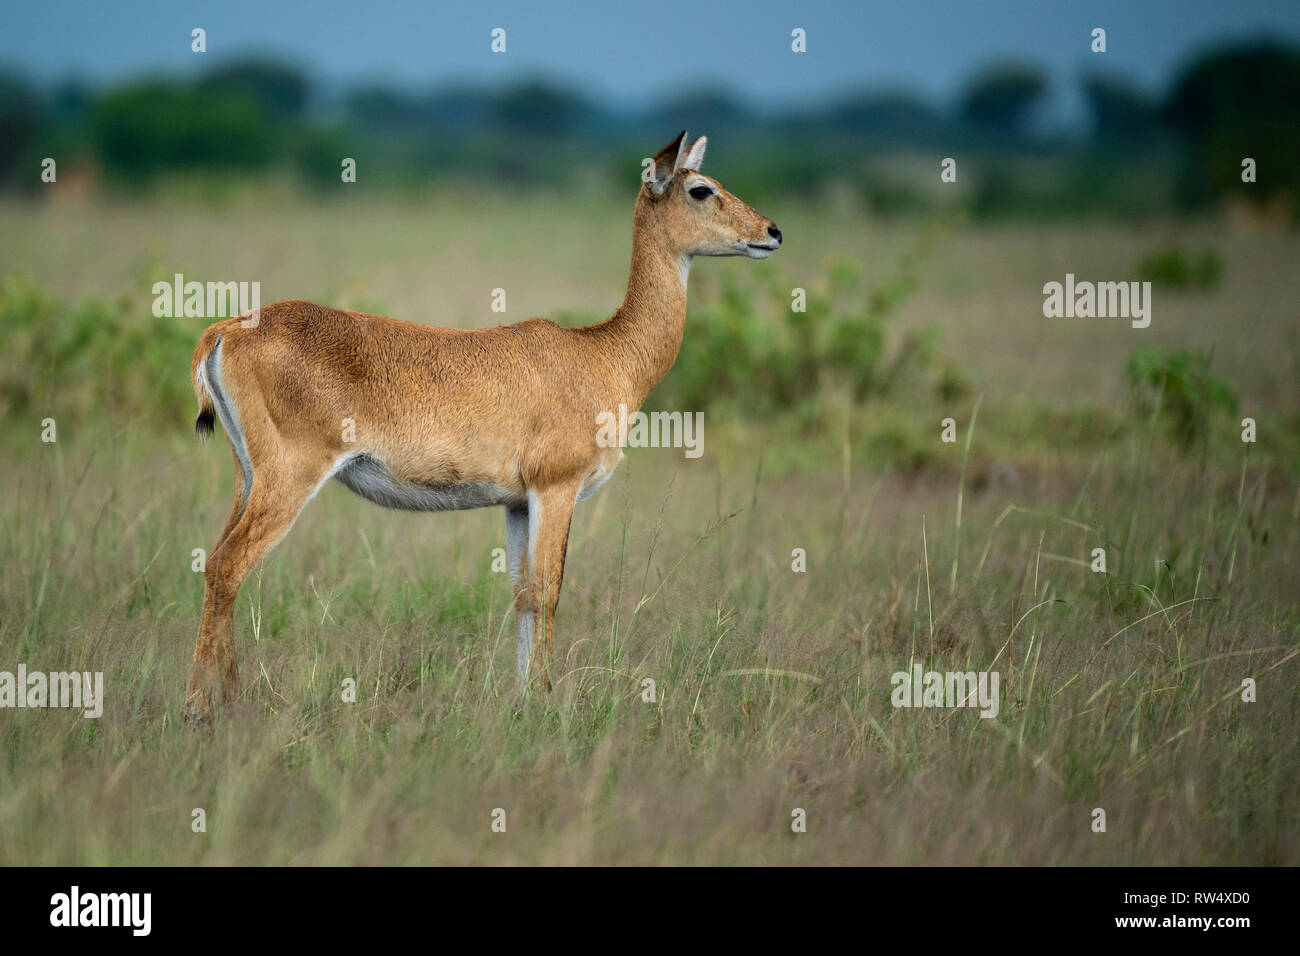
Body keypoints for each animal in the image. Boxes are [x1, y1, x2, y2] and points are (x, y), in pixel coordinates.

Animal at [184, 132, 780, 717]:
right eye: (701, 189)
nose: (772, 232)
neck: (604, 355)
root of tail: (225, 330)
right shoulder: (555, 488)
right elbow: (547, 590)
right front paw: (544, 702)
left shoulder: (516, 503)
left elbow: (521, 593)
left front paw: (521, 700)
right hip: (289, 478)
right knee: (228, 566)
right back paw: (203, 709)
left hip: (247, 477)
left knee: (215, 564)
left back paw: (228, 699)